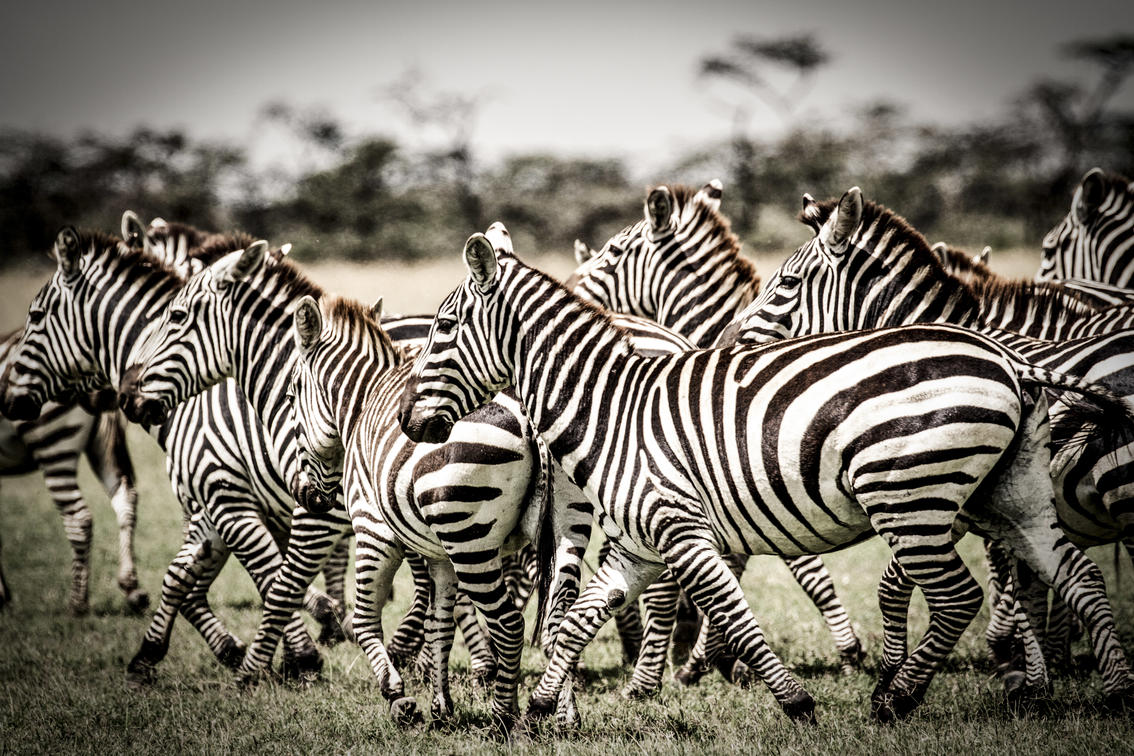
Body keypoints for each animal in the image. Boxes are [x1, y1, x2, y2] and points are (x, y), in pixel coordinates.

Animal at [0, 335, 146, 616]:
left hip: (52, 440)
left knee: (79, 517)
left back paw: (78, 603)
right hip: (100, 439)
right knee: (125, 497)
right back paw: (132, 588)